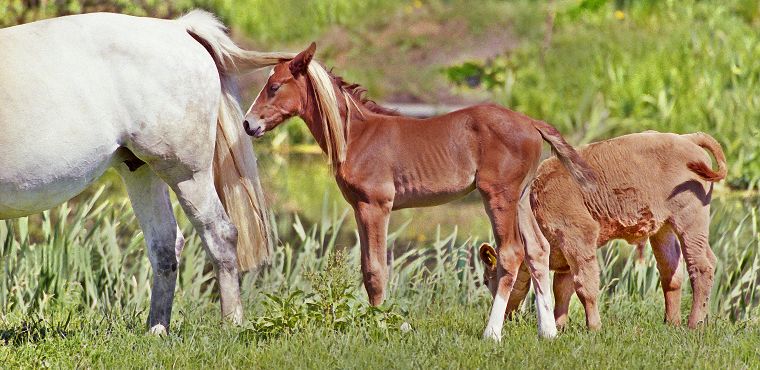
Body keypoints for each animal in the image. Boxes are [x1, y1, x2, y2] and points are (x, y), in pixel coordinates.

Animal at [0, 10, 290, 334]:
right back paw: (157, 330)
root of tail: (179, 29)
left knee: (220, 234)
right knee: (165, 246)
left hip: (187, 174)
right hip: (142, 171)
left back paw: (231, 324)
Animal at [246, 42, 596, 340]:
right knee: (538, 250)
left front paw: (381, 325)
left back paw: (492, 333)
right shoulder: (360, 207)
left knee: (511, 253)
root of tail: (530, 122)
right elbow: (367, 268)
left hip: (498, 196)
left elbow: (375, 270)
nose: (249, 124)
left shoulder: (375, 205)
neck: (357, 135)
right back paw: (547, 332)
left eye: (274, 87)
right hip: (520, 198)